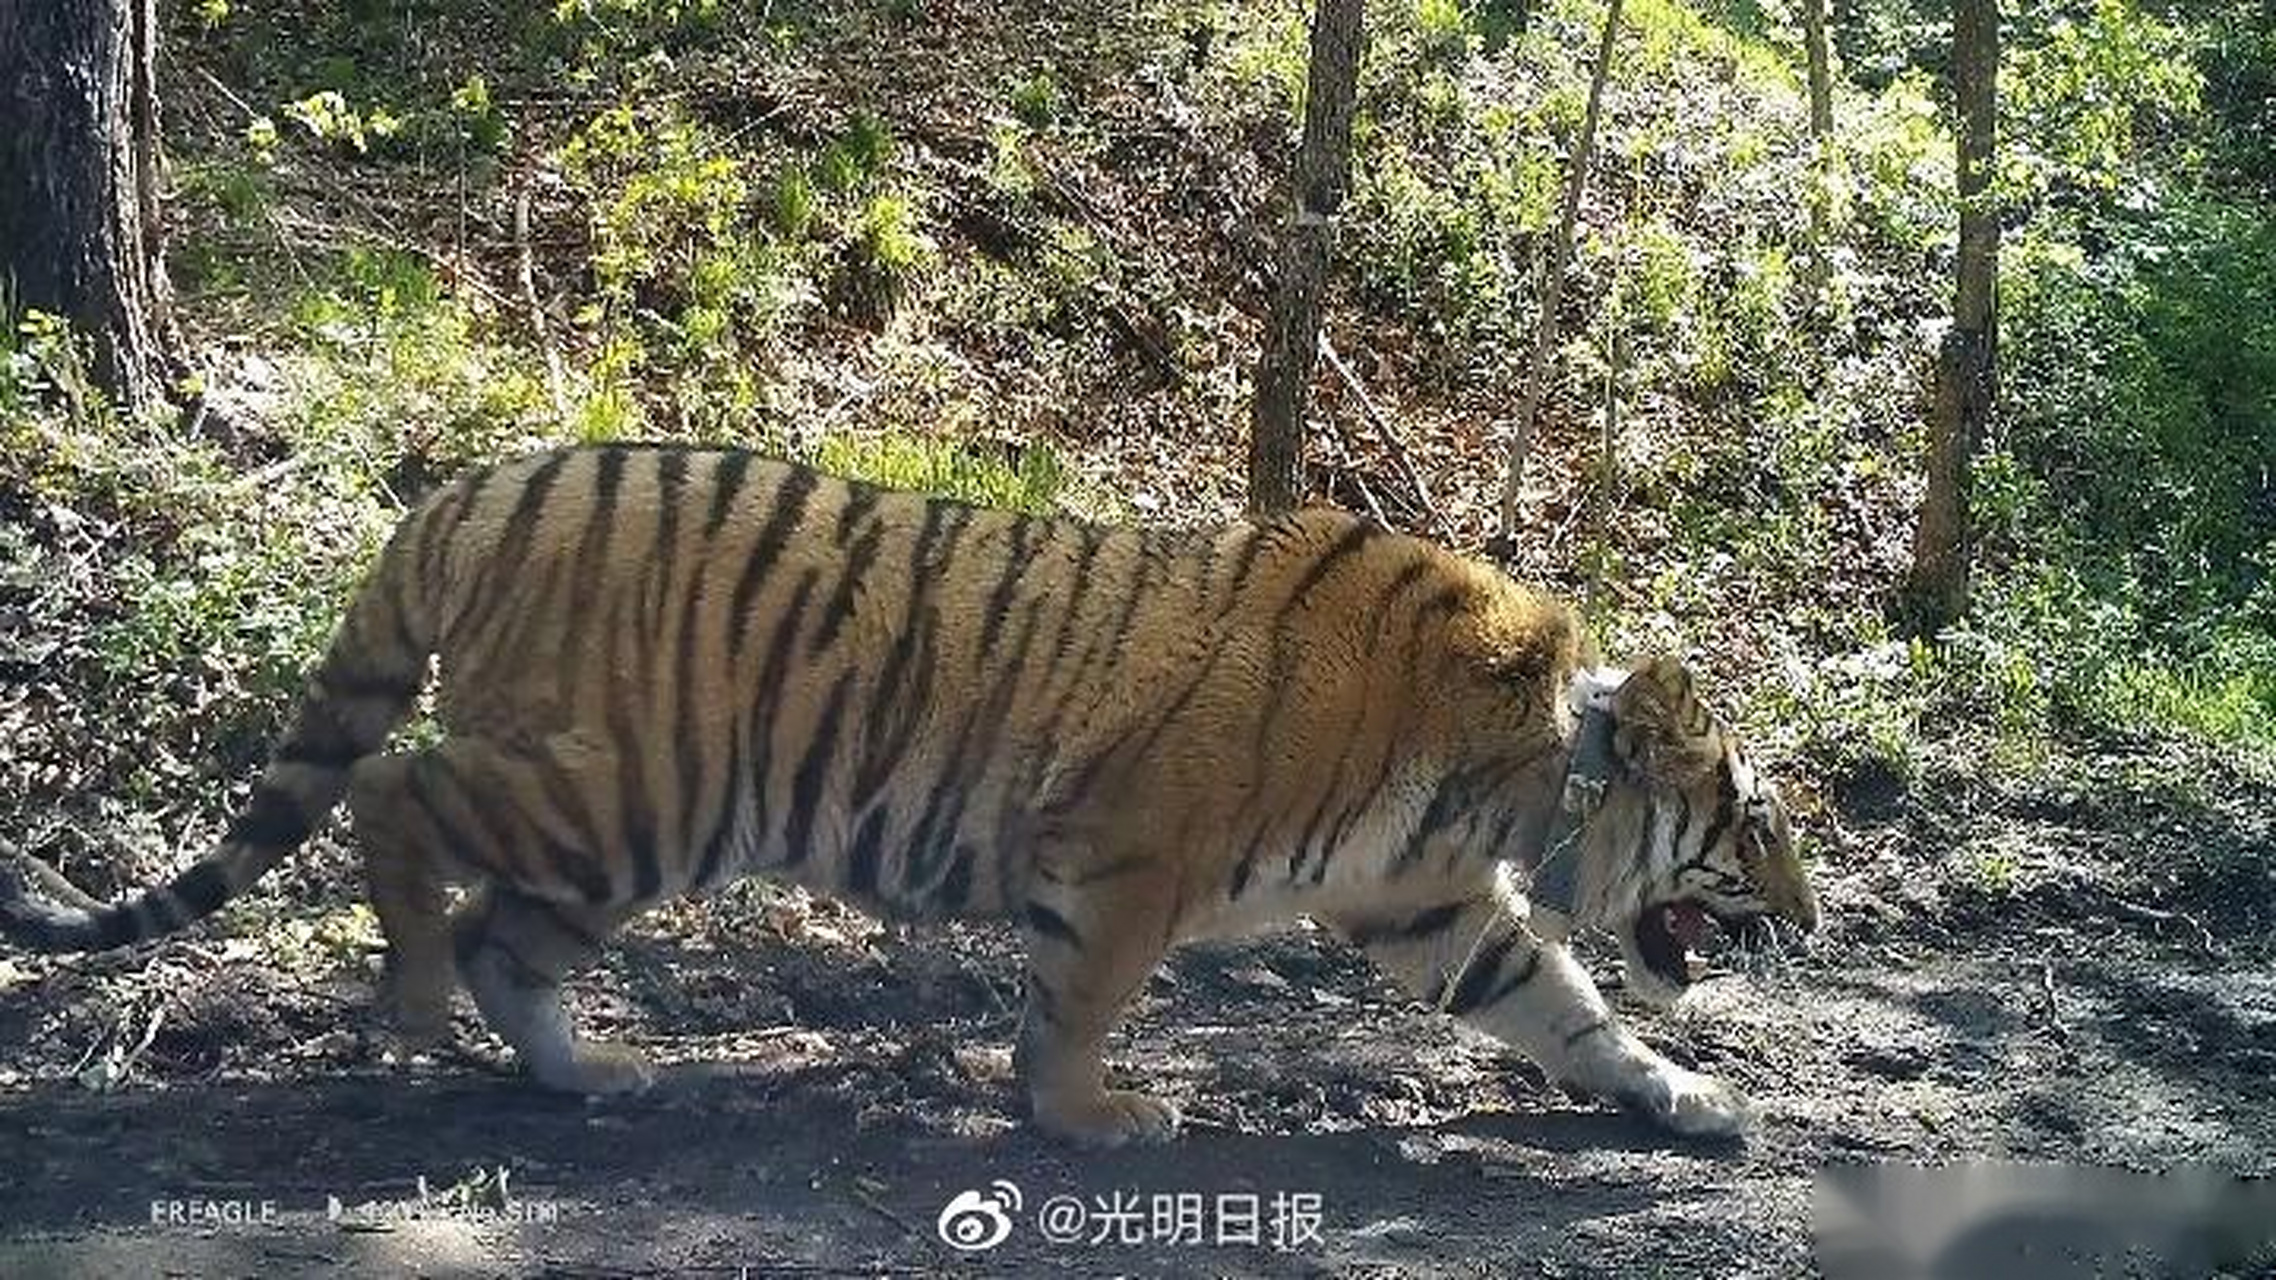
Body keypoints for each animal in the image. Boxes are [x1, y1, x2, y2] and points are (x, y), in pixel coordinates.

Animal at [0, 444, 1818, 1147]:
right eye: (1757, 825)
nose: (1810, 922)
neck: (1518, 779)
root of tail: (476, 485)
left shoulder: (1429, 905)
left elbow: (1567, 1006)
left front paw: (1684, 1095)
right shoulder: (1132, 856)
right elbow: (1082, 1000)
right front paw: (1089, 1118)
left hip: (628, 830)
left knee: (510, 925)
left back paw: (583, 1071)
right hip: (609, 788)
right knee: (392, 790)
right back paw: (419, 998)